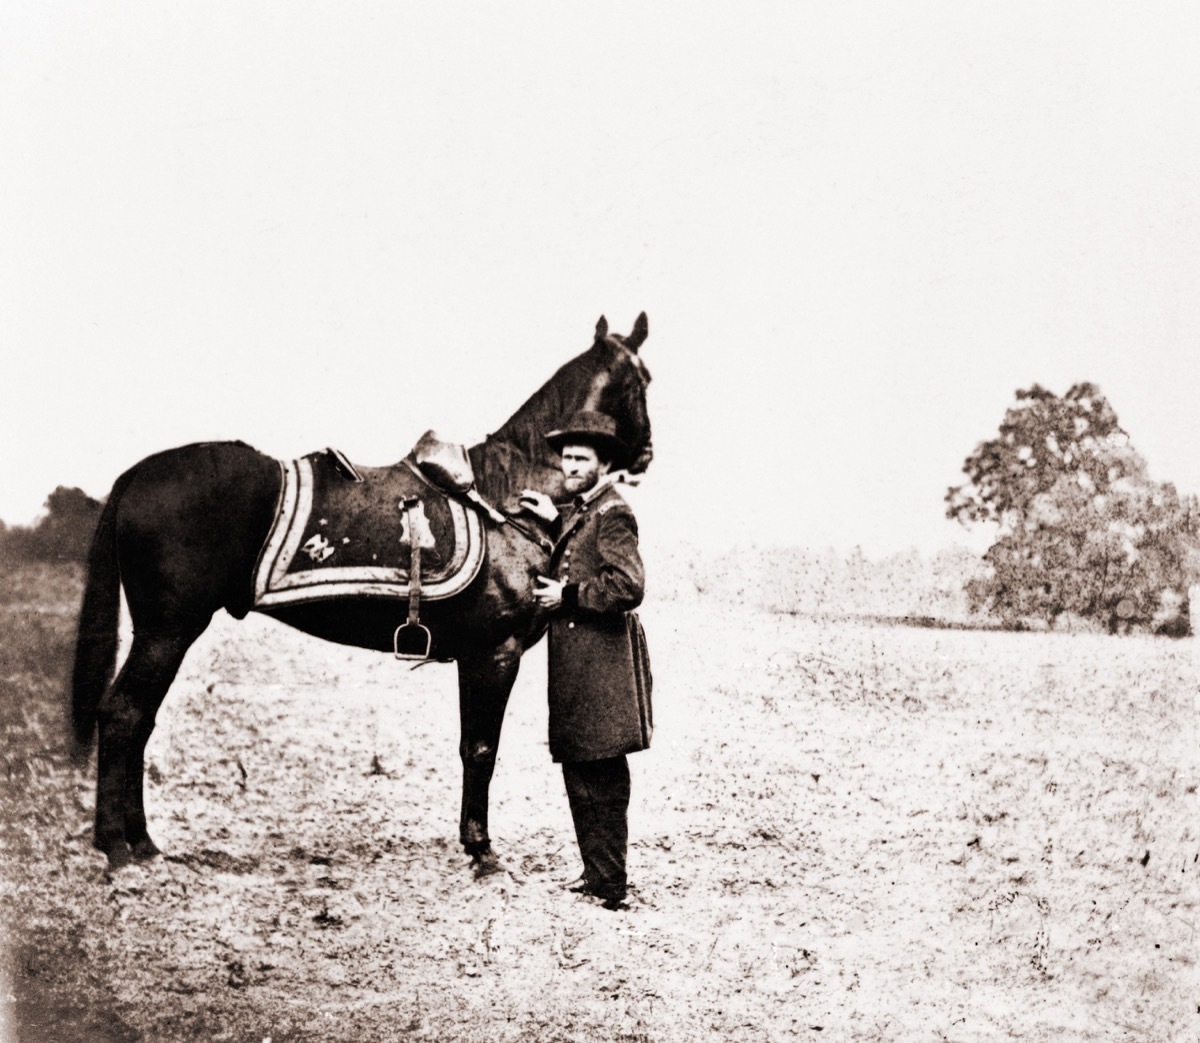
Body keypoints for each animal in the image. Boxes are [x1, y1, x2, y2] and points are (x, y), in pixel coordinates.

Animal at [72, 309, 657, 868]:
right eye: (641, 381)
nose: (647, 453)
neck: (502, 497)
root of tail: (137, 474)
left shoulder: (477, 655)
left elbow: (470, 746)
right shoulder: (495, 653)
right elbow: (481, 749)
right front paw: (482, 850)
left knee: (140, 721)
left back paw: (142, 843)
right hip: (167, 631)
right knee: (123, 716)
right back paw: (120, 849)